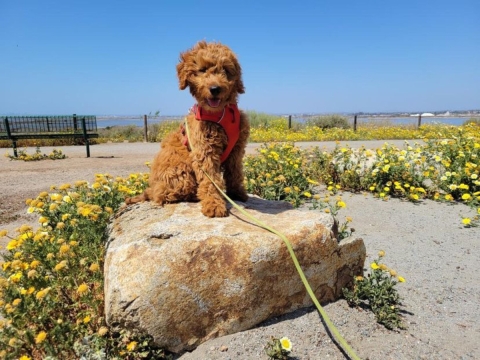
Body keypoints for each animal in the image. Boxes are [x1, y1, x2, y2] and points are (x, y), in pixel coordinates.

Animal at [125, 41, 249, 218]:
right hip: (180, 174)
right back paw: (193, 195)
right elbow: (210, 180)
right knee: (164, 194)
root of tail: (150, 188)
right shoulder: (204, 150)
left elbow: (235, 171)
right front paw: (214, 204)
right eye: (202, 70)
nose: (215, 88)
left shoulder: (236, 148)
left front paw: (237, 193)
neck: (222, 112)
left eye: (225, 70)